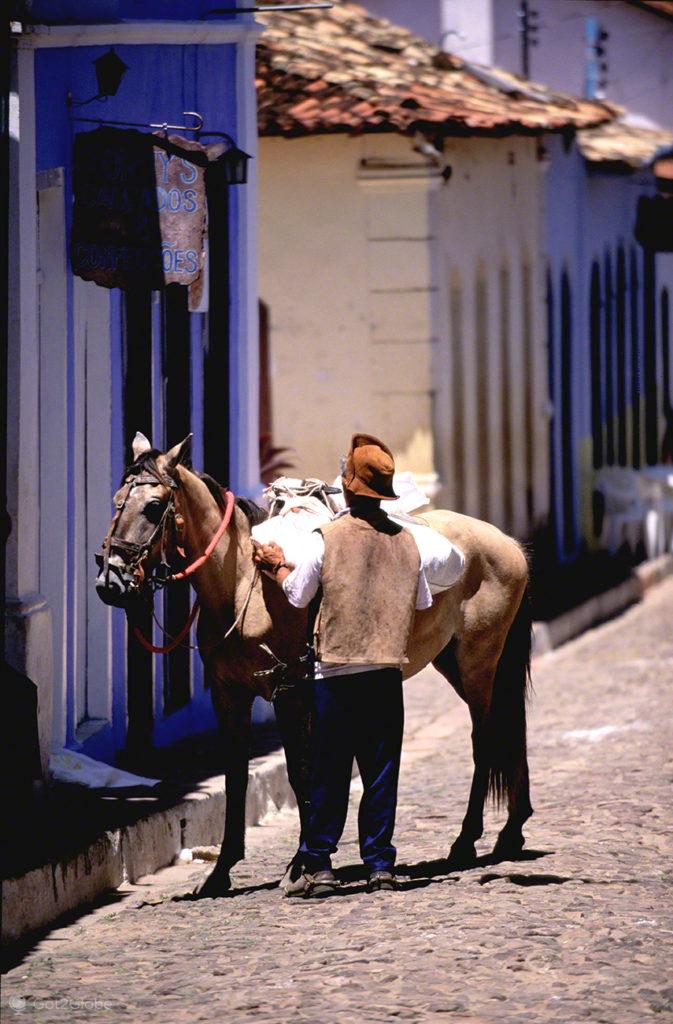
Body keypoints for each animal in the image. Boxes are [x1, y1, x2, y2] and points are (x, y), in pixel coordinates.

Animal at [94, 432, 532, 897]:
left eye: (153, 506)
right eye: (116, 501)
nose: (110, 581)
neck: (243, 585)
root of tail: (508, 544)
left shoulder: (288, 691)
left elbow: (301, 770)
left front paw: (300, 865)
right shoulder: (230, 695)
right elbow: (236, 776)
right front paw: (221, 870)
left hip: (478, 663)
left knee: (486, 739)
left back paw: (467, 841)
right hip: (457, 663)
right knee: (507, 730)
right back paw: (511, 832)